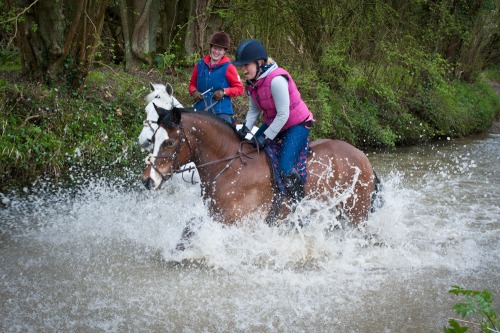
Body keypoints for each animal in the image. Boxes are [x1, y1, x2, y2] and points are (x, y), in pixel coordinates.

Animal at [143, 105, 380, 227]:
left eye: (169, 142)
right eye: (153, 139)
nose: (147, 180)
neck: (229, 167)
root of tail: (363, 157)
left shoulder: (234, 220)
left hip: (356, 213)